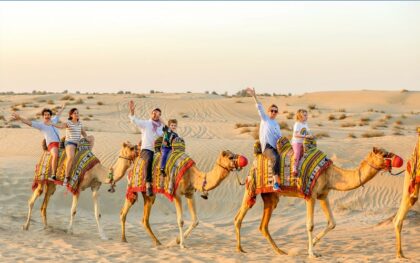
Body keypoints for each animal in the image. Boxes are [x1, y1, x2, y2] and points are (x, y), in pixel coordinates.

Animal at [114, 150, 246, 249]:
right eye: (230, 157)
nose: (243, 160)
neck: (193, 175)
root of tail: (133, 164)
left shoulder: (189, 194)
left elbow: (196, 220)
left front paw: (177, 240)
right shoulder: (176, 194)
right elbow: (180, 220)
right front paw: (182, 244)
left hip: (148, 194)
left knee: (142, 218)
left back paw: (156, 242)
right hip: (138, 188)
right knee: (127, 212)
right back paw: (124, 239)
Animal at [233, 147, 400, 258]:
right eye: (384, 154)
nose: (399, 159)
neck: (331, 175)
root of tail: (255, 159)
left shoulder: (323, 196)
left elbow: (332, 223)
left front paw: (312, 244)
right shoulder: (311, 195)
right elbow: (310, 225)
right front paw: (312, 253)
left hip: (270, 196)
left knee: (262, 225)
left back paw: (280, 251)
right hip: (252, 187)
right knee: (240, 217)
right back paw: (240, 249)